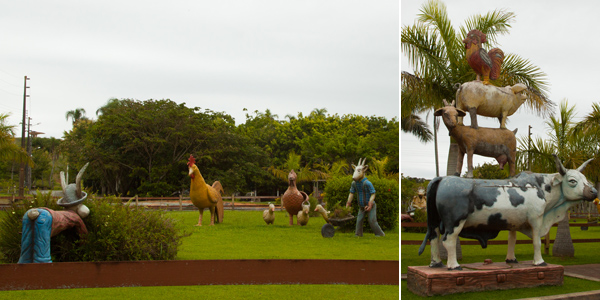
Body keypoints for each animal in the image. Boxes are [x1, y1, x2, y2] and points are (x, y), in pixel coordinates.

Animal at [420, 155, 596, 270]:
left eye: (585, 178)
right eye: (572, 181)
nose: (594, 191)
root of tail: (442, 179)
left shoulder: (513, 222)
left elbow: (512, 240)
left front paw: (511, 260)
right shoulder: (536, 220)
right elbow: (537, 242)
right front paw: (539, 262)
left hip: (435, 222)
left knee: (433, 238)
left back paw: (436, 263)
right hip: (454, 222)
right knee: (448, 241)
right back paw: (453, 266)